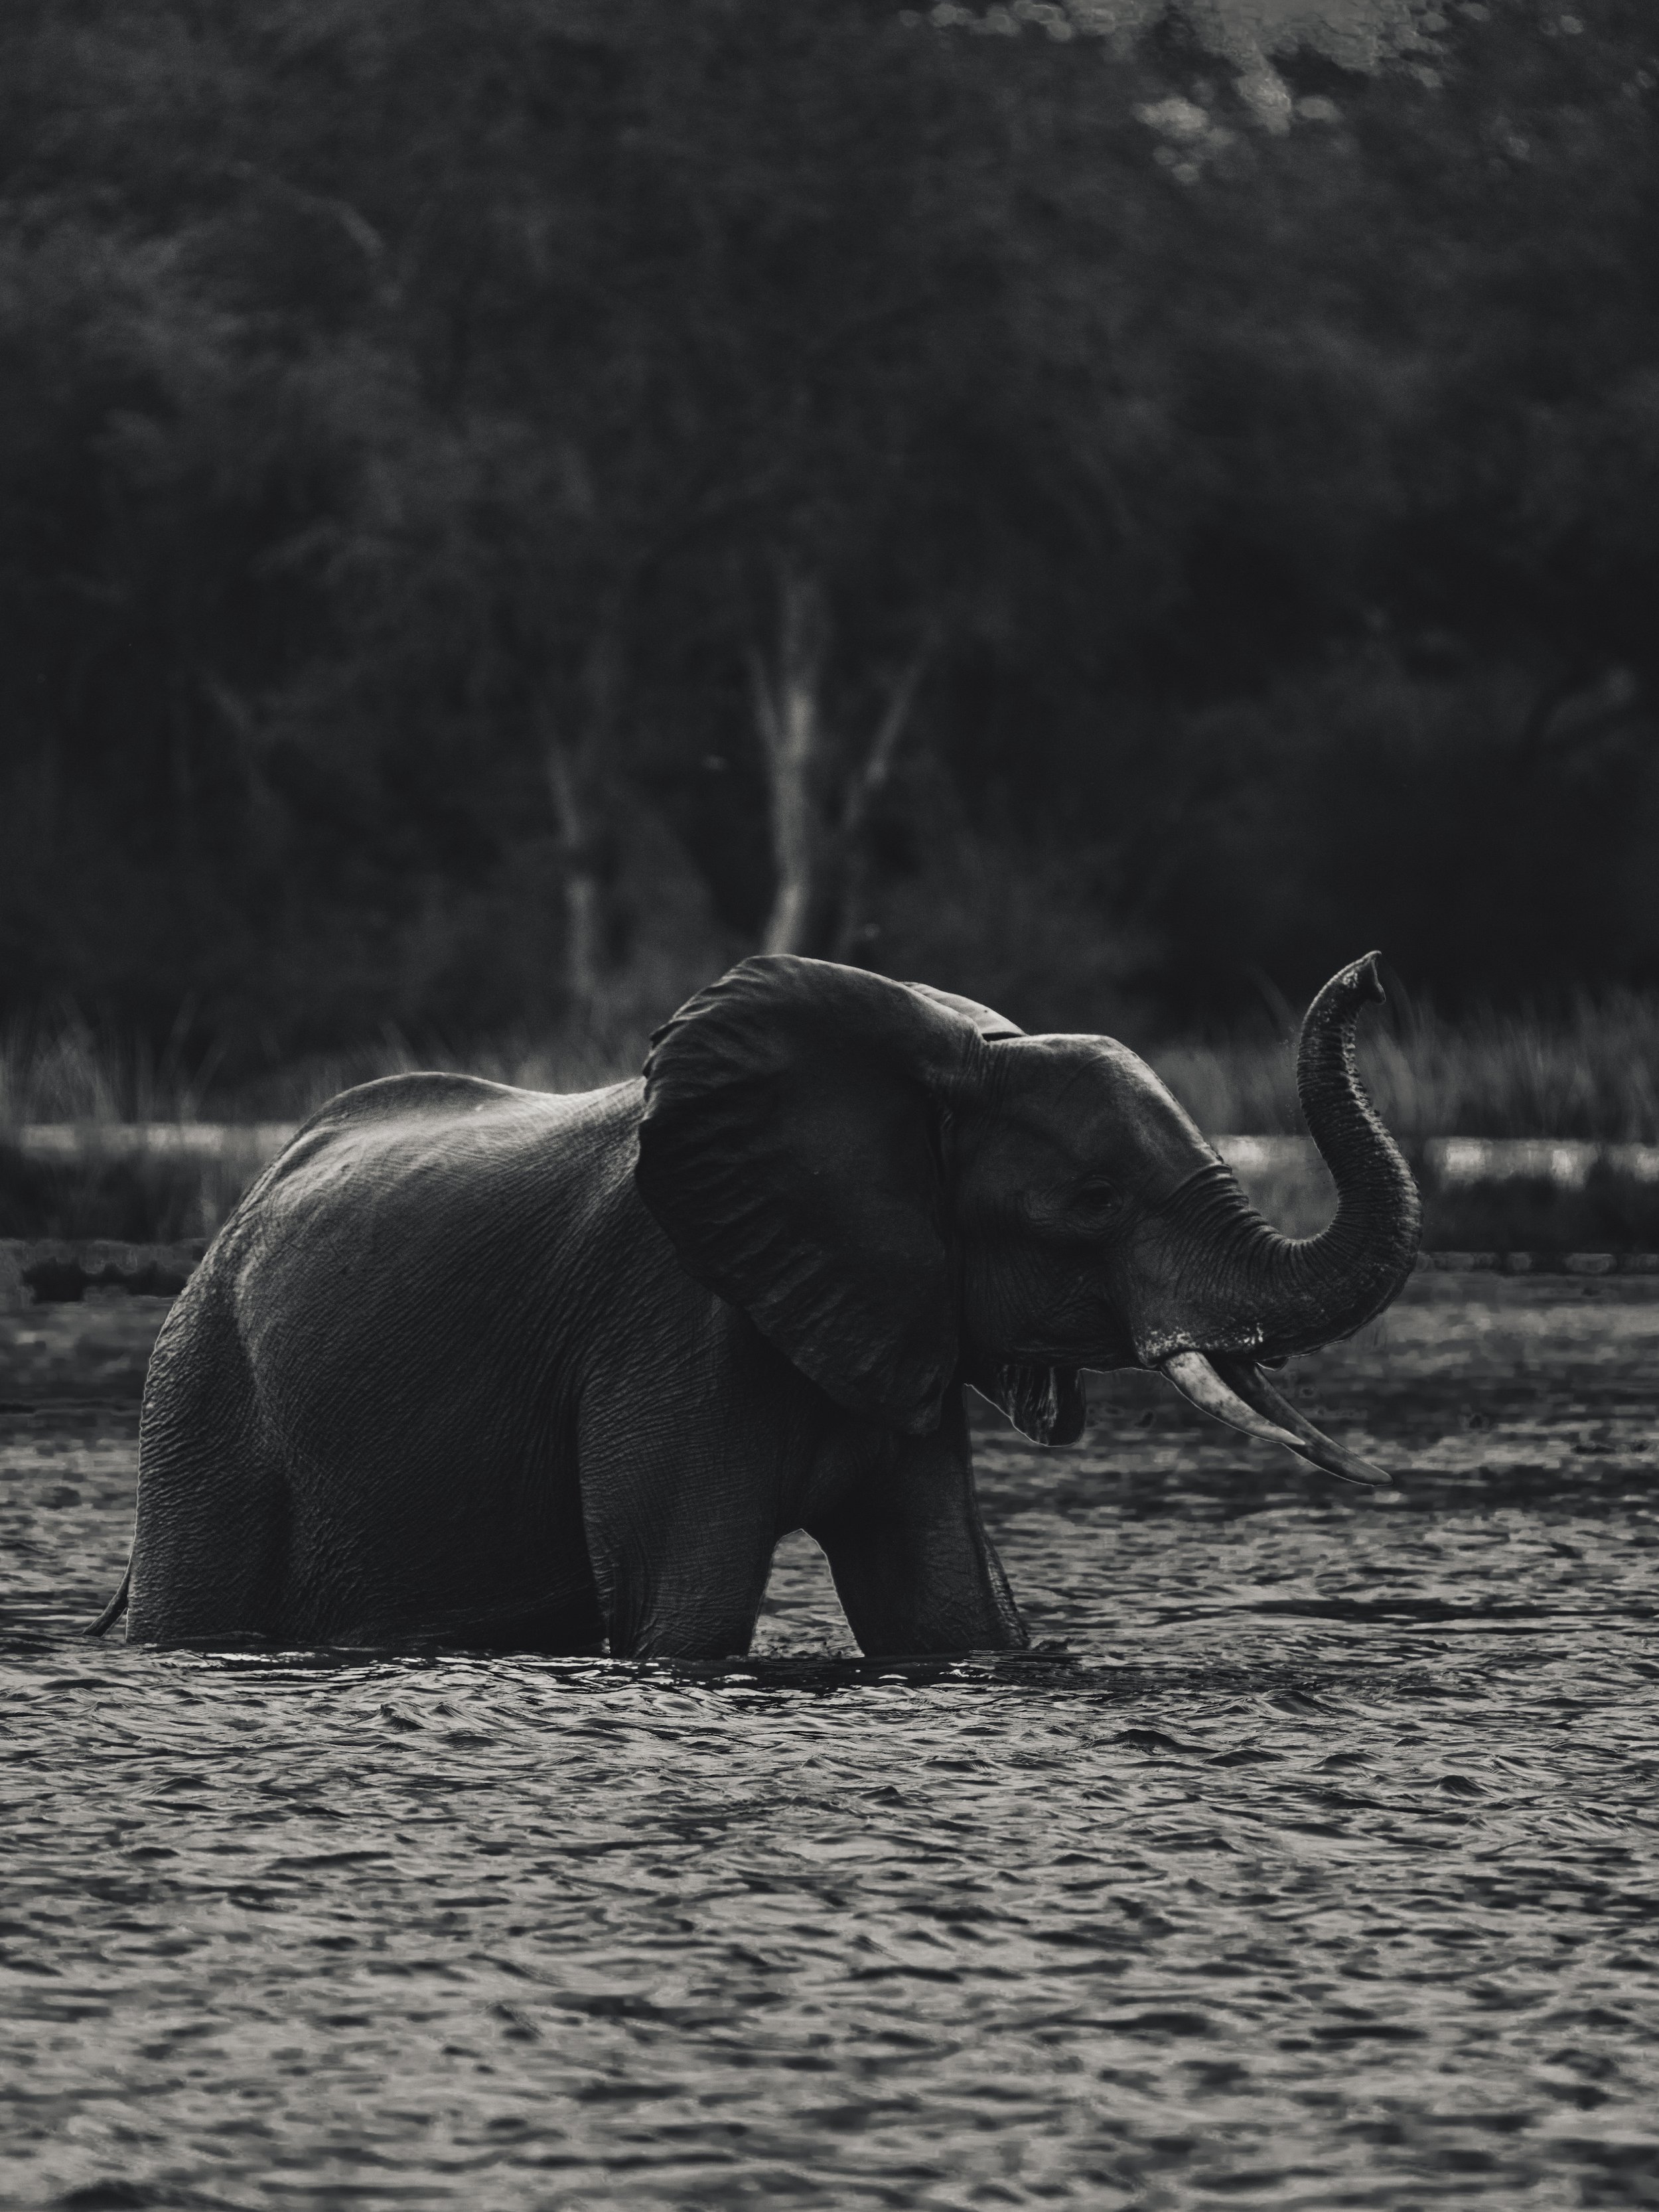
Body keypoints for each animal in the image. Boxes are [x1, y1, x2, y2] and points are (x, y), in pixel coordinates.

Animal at [90, 951, 1424, 1663]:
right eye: (1092, 1201)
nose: (1371, 973)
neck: (940, 1061)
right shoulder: (678, 1317)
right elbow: (684, 1606)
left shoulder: (888, 1309)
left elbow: (944, 1600)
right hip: (203, 1400)